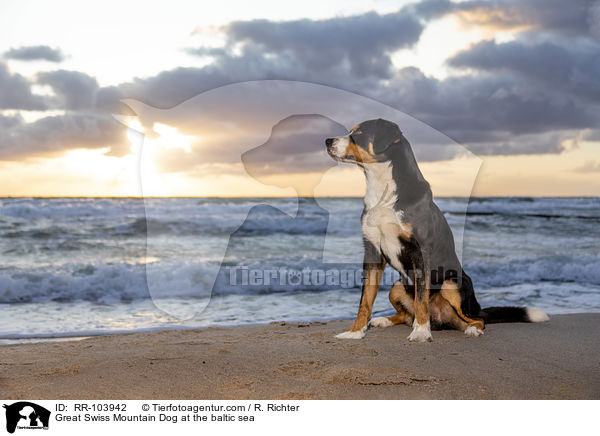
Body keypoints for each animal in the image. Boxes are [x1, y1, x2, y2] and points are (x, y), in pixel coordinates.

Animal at [326, 118, 548, 340]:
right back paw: (383, 320)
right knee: (405, 315)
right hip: (397, 287)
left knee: (477, 319)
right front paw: (355, 331)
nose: (328, 141)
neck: (383, 190)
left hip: (451, 283)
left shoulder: (420, 251)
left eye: (359, 133)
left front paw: (421, 332)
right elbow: (365, 301)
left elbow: (421, 298)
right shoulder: (372, 251)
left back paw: (471, 329)